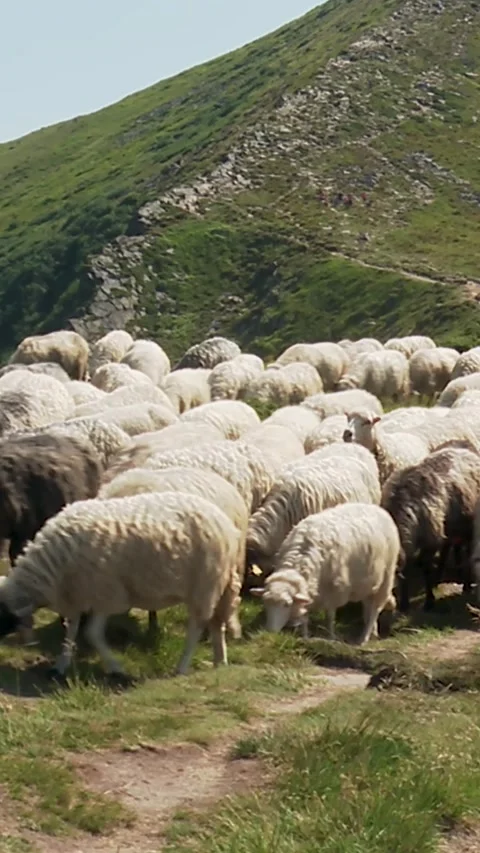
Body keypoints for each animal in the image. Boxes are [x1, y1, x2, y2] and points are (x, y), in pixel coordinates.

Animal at [0, 492, 243, 677]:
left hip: (204, 584)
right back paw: (220, 661)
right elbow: (72, 630)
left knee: (197, 626)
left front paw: (116, 668)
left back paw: (182, 667)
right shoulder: (78, 594)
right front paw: (61, 665)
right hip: (217, 584)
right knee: (216, 622)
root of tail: (225, 523)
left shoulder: (106, 594)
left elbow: (92, 633)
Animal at [251, 503, 399, 643]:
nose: (270, 631)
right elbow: (304, 618)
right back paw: (373, 632)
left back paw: (364, 638)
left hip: (387, 575)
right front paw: (305, 637)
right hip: (369, 581)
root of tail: (376, 507)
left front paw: (331, 637)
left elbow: (330, 617)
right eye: (265, 602)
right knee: (368, 606)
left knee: (375, 609)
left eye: (286, 604)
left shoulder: (335, 592)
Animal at [381, 447, 480, 610]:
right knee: (450, 548)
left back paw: (466, 584)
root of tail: (464, 450)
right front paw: (404, 603)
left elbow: (426, 569)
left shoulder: (430, 541)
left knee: (467, 552)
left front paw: (429, 601)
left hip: (467, 526)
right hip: (450, 527)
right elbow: (407, 570)